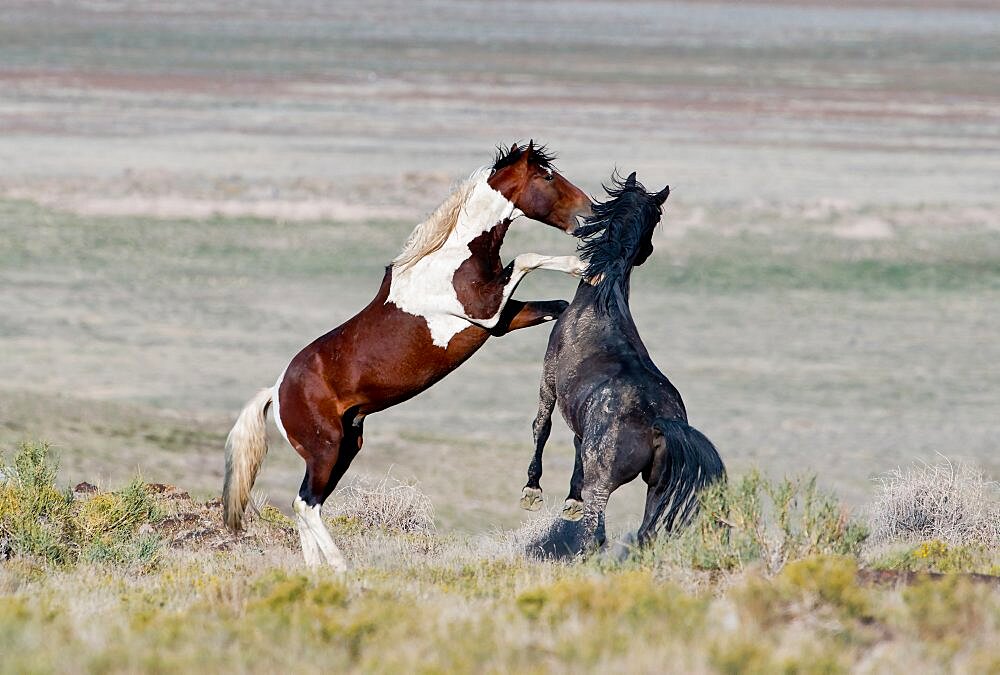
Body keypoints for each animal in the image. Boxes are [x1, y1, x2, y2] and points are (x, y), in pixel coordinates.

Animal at [223, 144, 588, 572]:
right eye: (548, 177)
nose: (588, 210)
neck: (451, 257)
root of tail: (276, 392)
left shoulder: (500, 320)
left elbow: (557, 306)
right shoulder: (486, 311)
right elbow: (528, 257)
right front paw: (581, 264)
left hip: (346, 447)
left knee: (306, 505)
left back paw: (316, 570)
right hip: (326, 448)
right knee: (306, 504)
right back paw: (341, 568)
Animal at [520, 172, 724, 556]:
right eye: (656, 217)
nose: (647, 252)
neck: (600, 297)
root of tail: (658, 422)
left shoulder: (548, 380)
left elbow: (542, 427)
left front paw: (532, 491)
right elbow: (575, 445)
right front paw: (570, 500)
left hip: (603, 486)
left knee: (595, 533)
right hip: (657, 488)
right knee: (646, 535)